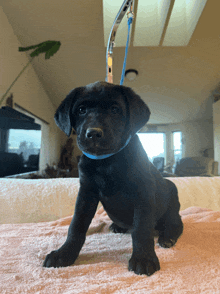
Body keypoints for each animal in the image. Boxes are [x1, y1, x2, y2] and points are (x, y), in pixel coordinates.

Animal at [42, 81, 182, 276]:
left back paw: (168, 237)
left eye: (115, 110)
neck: (106, 161)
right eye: (81, 109)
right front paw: (64, 253)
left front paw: (144, 259)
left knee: (176, 223)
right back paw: (118, 226)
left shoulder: (144, 192)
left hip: (171, 196)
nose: (93, 133)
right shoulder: (86, 193)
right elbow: (76, 226)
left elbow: (141, 228)